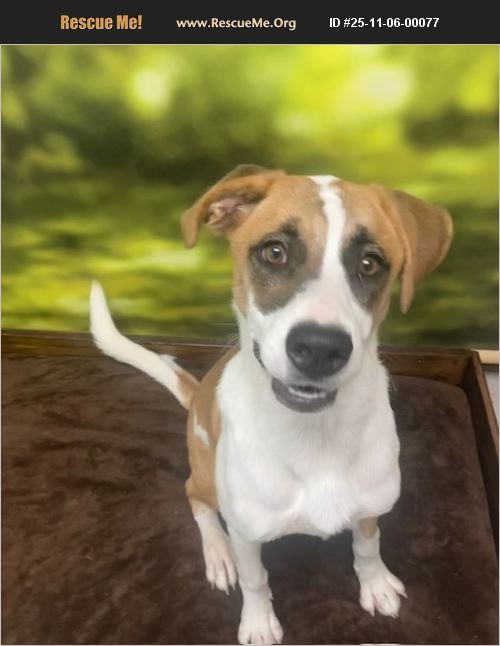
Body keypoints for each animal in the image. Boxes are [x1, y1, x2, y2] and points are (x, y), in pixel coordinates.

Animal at [90, 166, 452, 645]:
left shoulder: (371, 508)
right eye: (275, 252)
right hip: (206, 478)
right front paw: (259, 622)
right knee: (194, 497)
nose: (320, 348)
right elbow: (255, 579)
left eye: (370, 263)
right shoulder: (247, 532)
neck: (315, 436)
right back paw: (217, 553)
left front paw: (376, 585)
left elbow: (367, 547)